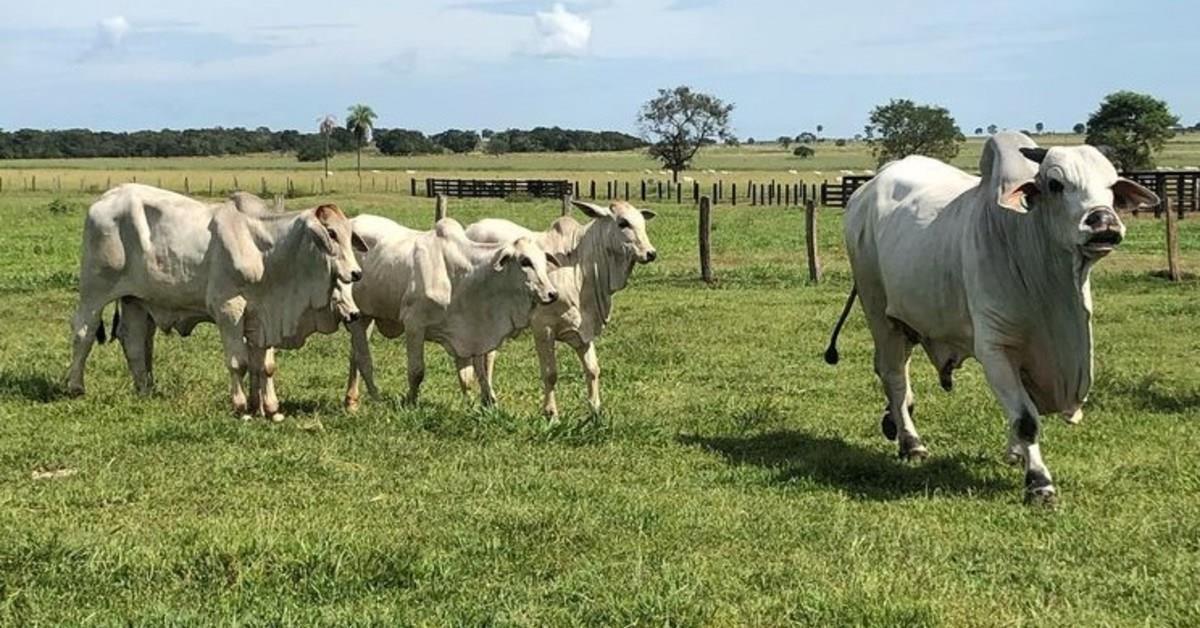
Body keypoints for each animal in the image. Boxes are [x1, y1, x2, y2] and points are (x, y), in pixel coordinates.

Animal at [65, 184, 362, 420]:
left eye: (349, 234)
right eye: (331, 233)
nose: (357, 273)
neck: (263, 248)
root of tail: (106, 198)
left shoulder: (261, 316)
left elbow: (264, 365)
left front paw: (269, 408)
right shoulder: (228, 309)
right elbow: (238, 362)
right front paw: (242, 408)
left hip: (135, 300)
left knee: (135, 342)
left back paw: (145, 390)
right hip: (95, 290)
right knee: (84, 332)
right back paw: (75, 387)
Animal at [343, 216, 556, 410]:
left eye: (544, 261)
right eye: (525, 261)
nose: (552, 294)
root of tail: (352, 220)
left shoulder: (464, 333)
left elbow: (467, 377)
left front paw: (471, 405)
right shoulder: (414, 324)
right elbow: (416, 371)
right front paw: (410, 402)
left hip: (366, 317)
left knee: (354, 355)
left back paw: (351, 401)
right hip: (357, 316)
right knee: (362, 358)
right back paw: (371, 399)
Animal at [825, 135, 1152, 504]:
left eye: (1111, 185)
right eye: (1056, 183)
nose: (1103, 221)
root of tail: (866, 190)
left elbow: (1023, 412)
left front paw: (1016, 454)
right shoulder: (996, 348)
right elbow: (1026, 419)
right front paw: (1039, 483)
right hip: (880, 312)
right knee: (894, 376)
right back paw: (911, 443)